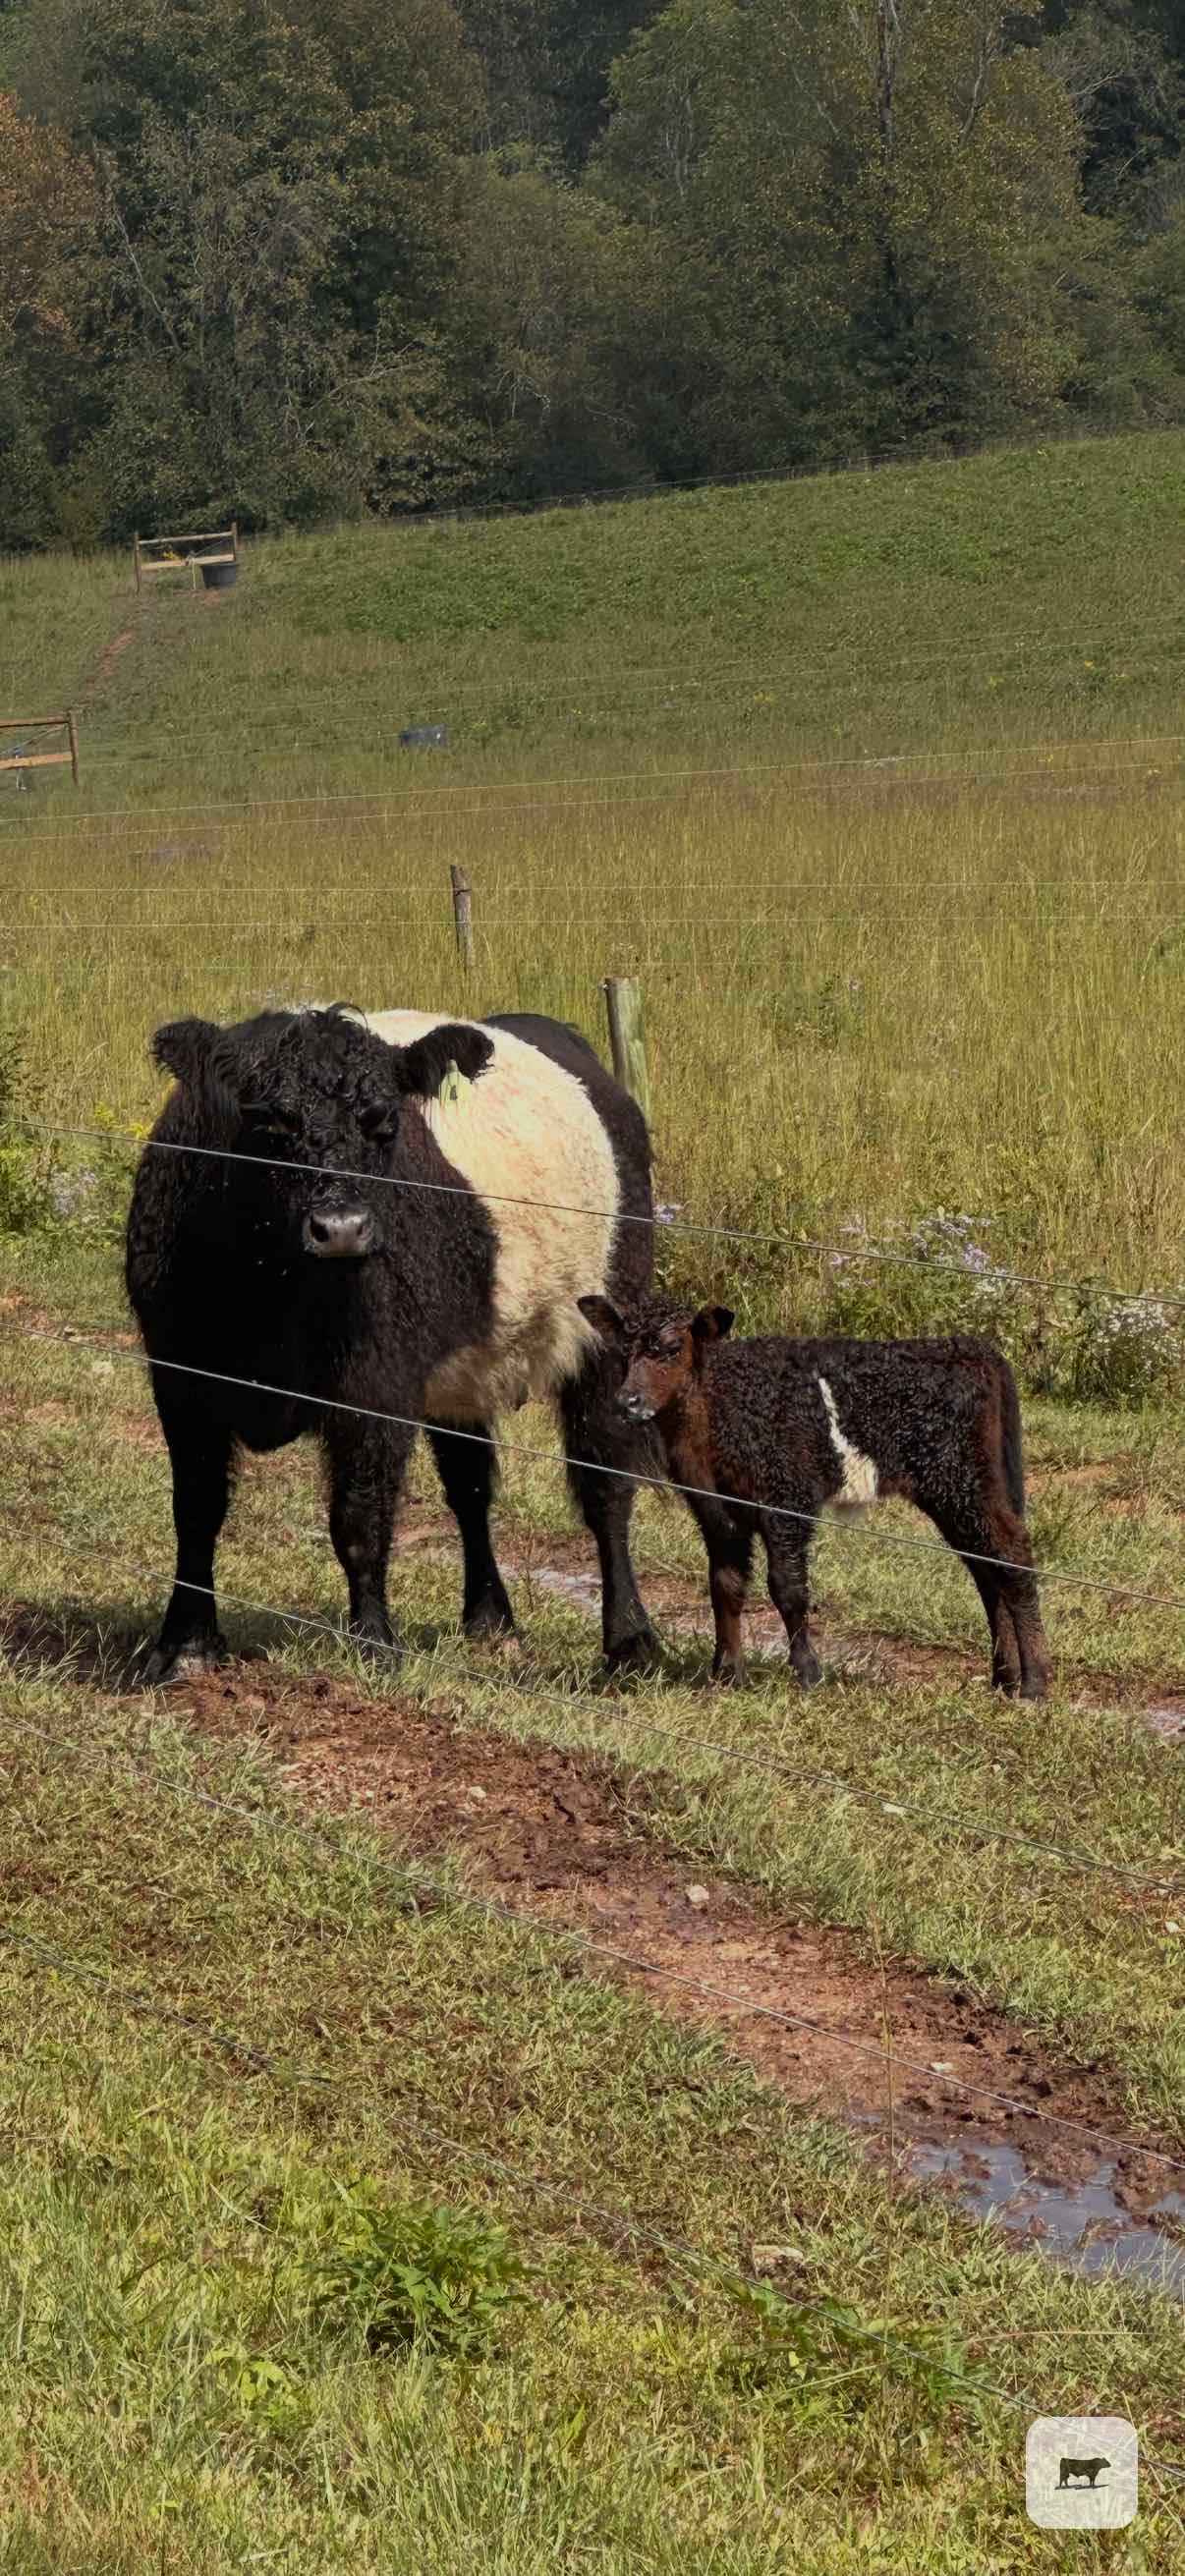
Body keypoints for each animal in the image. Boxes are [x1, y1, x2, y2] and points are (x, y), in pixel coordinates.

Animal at [125, 1005, 657, 1682]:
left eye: (384, 1123)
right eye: (269, 1122)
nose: (342, 1228)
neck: (272, 1285)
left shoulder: (377, 1388)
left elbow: (358, 1519)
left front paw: (375, 1644)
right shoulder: (181, 1376)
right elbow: (196, 1507)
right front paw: (185, 1642)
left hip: (609, 1333)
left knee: (605, 1486)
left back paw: (630, 1641)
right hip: (464, 1375)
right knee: (470, 1488)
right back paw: (490, 1619)